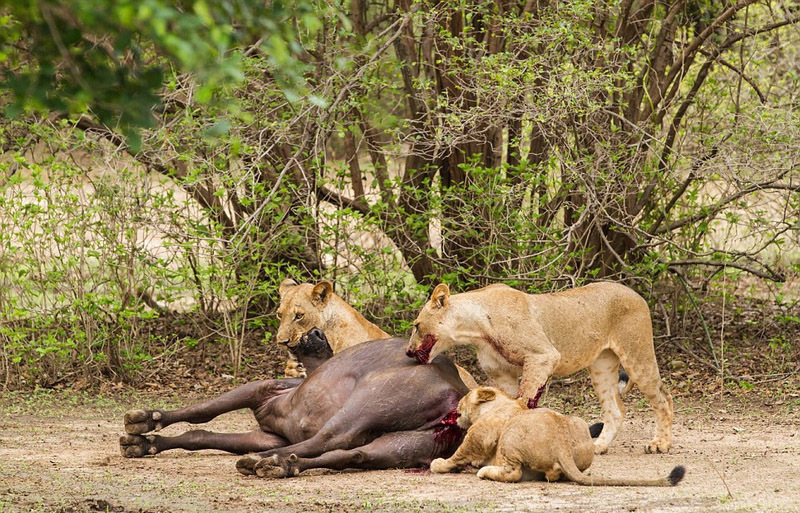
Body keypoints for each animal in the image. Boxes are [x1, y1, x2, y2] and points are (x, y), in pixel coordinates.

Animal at [121, 328, 466, 476]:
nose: (315, 332)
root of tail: (457, 397)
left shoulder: (259, 390)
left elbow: (200, 413)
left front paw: (146, 421)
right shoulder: (269, 432)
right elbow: (200, 435)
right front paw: (146, 443)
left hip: (366, 403)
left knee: (331, 440)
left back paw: (266, 460)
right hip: (400, 447)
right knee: (351, 455)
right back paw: (282, 465)